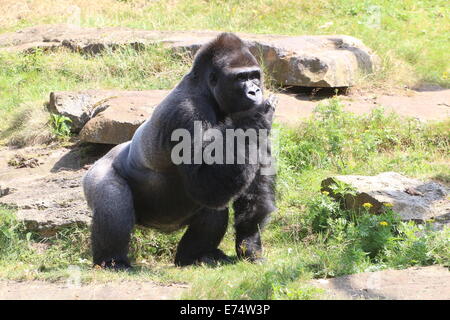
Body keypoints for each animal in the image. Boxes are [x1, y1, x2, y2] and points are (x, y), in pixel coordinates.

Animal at [82, 32, 276, 268]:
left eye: (254, 76)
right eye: (240, 78)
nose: (255, 90)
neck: (206, 91)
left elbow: (252, 187)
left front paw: (249, 243)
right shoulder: (187, 112)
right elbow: (202, 184)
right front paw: (253, 117)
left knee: (213, 207)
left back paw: (193, 255)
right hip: (95, 175)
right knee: (112, 202)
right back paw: (113, 261)